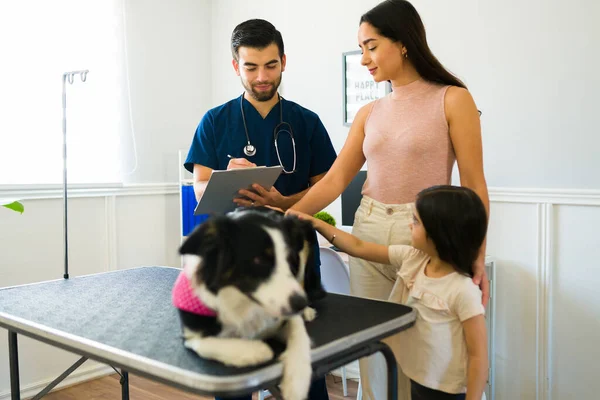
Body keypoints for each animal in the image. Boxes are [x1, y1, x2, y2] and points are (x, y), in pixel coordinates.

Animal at [175, 206, 324, 400]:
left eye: (291, 260)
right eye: (259, 260)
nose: (300, 303)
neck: (244, 301)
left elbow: (299, 335)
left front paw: (297, 381)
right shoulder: (191, 334)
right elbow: (208, 343)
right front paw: (254, 351)